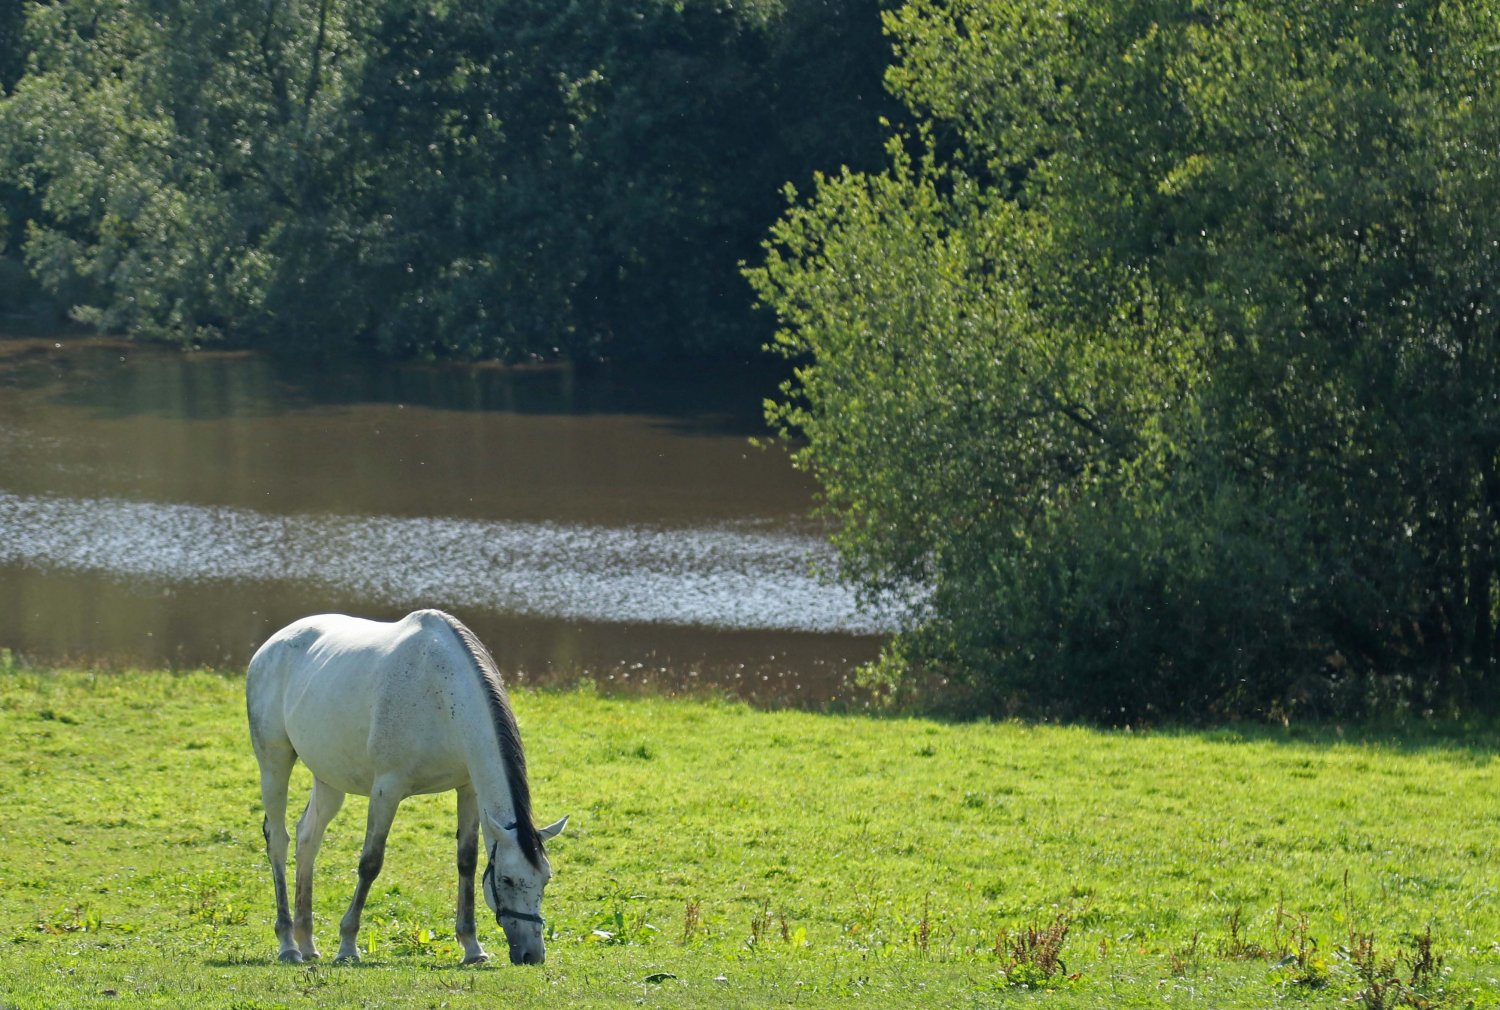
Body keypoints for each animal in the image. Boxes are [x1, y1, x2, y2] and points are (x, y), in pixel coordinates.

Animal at [246, 609, 567, 965]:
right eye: (507, 880)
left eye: (545, 879)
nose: (531, 954)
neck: (438, 691)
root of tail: (271, 645)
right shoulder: (387, 789)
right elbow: (370, 863)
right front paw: (347, 946)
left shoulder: (468, 789)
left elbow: (466, 862)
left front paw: (472, 946)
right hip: (274, 763)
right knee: (279, 839)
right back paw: (288, 943)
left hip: (329, 779)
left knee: (307, 839)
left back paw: (307, 942)